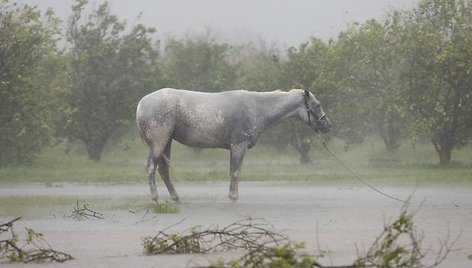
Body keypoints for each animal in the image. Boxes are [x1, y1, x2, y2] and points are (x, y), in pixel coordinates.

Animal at [135, 89, 330, 202]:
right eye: (317, 105)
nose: (328, 125)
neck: (256, 107)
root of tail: (141, 104)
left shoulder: (234, 148)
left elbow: (231, 172)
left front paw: (231, 195)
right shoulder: (239, 146)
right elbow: (236, 172)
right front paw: (234, 197)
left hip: (166, 142)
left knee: (163, 170)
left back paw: (175, 197)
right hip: (159, 142)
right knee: (151, 167)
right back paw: (155, 197)